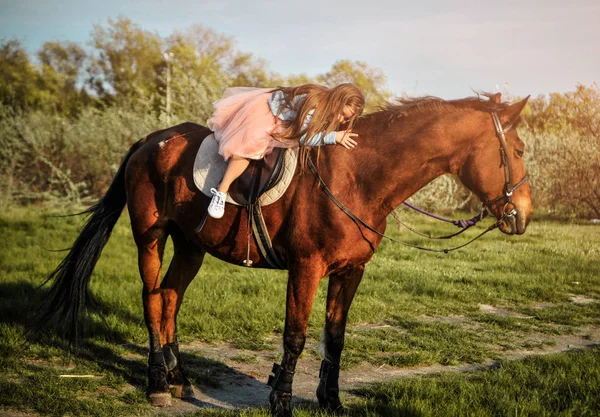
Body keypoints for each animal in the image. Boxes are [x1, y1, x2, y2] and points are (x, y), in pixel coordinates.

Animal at [35, 92, 532, 414]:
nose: (523, 213)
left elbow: (335, 336)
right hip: (150, 236)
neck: (358, 177)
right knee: (152, 300)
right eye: (519, 149)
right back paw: (158, 381)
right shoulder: (306, 267)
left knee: (171, 298)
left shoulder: (350, 271)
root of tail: (149, 141)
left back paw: (180, 379)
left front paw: (330, 400)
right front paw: (282, 399)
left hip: (191, 245)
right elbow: (295, 336)